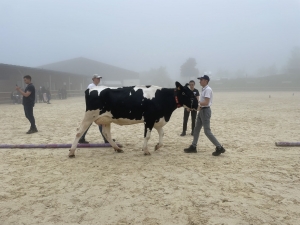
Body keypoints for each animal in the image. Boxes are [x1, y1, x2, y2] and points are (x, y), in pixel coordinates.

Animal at [68, 81, 199, 157]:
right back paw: (72, 152)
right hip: (89, 116)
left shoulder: (157, 120)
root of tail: (90, 89)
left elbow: (162, 134)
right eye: (188, 94)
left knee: (106, 133)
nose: (198, 105)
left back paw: (117, 148)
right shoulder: (149, 119)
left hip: (106, 119)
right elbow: (147, 136)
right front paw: (146, 150)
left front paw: (157, 146)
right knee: (79, 132)